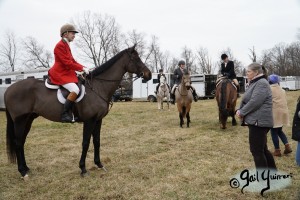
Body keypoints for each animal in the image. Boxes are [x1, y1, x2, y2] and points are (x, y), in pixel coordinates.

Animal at [3, 45, 151, 178]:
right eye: (136, 58)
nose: (148, 75)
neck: (98, 87)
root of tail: (9, 89)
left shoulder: (98, 120)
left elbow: (97, 141)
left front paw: (99, 164)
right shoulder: (89, 121)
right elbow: (85, 143)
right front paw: (83, 169)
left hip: (29, 119)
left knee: (22, 142)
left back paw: (26, 168)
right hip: (20, 121)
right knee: (18, 142)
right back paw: (22, 172)